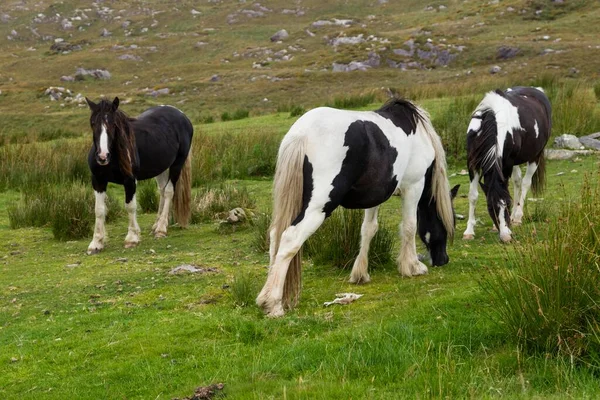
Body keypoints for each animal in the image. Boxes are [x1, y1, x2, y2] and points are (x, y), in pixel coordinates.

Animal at [85, 96, 193, 253]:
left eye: (113, 124)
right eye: (93, 123)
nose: (102, 156)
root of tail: (181, 115)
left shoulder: (130, 180)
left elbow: (130, 206)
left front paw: (132, 238)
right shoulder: (98, 180)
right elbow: (99, 210)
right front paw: (96, 243)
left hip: (177, 165)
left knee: (168, 192)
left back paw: (161, 229)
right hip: (161, 168)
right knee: (162, 191)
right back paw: (157, 224)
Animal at [255, 98, 458, 318]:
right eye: (448, 224)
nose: (443, 260)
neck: (418, 133)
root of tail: (301, 133)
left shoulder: (376, 196)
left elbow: (368, 230)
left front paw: (360, 274)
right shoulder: (414, 186)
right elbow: (409, 226)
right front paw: (412, 266)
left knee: (275, 237)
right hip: (319, 206)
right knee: (290, 238)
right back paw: (273, 304)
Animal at [464, 86, 552, 242]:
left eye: (508, 204)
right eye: (490, 207)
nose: (506, 237)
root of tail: (538, 90)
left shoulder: (507, 163)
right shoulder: (472, 163)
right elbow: (473, 195)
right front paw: (469, 231)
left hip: (535, 156)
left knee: (525, 183)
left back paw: (517, 217)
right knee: (517, 181)